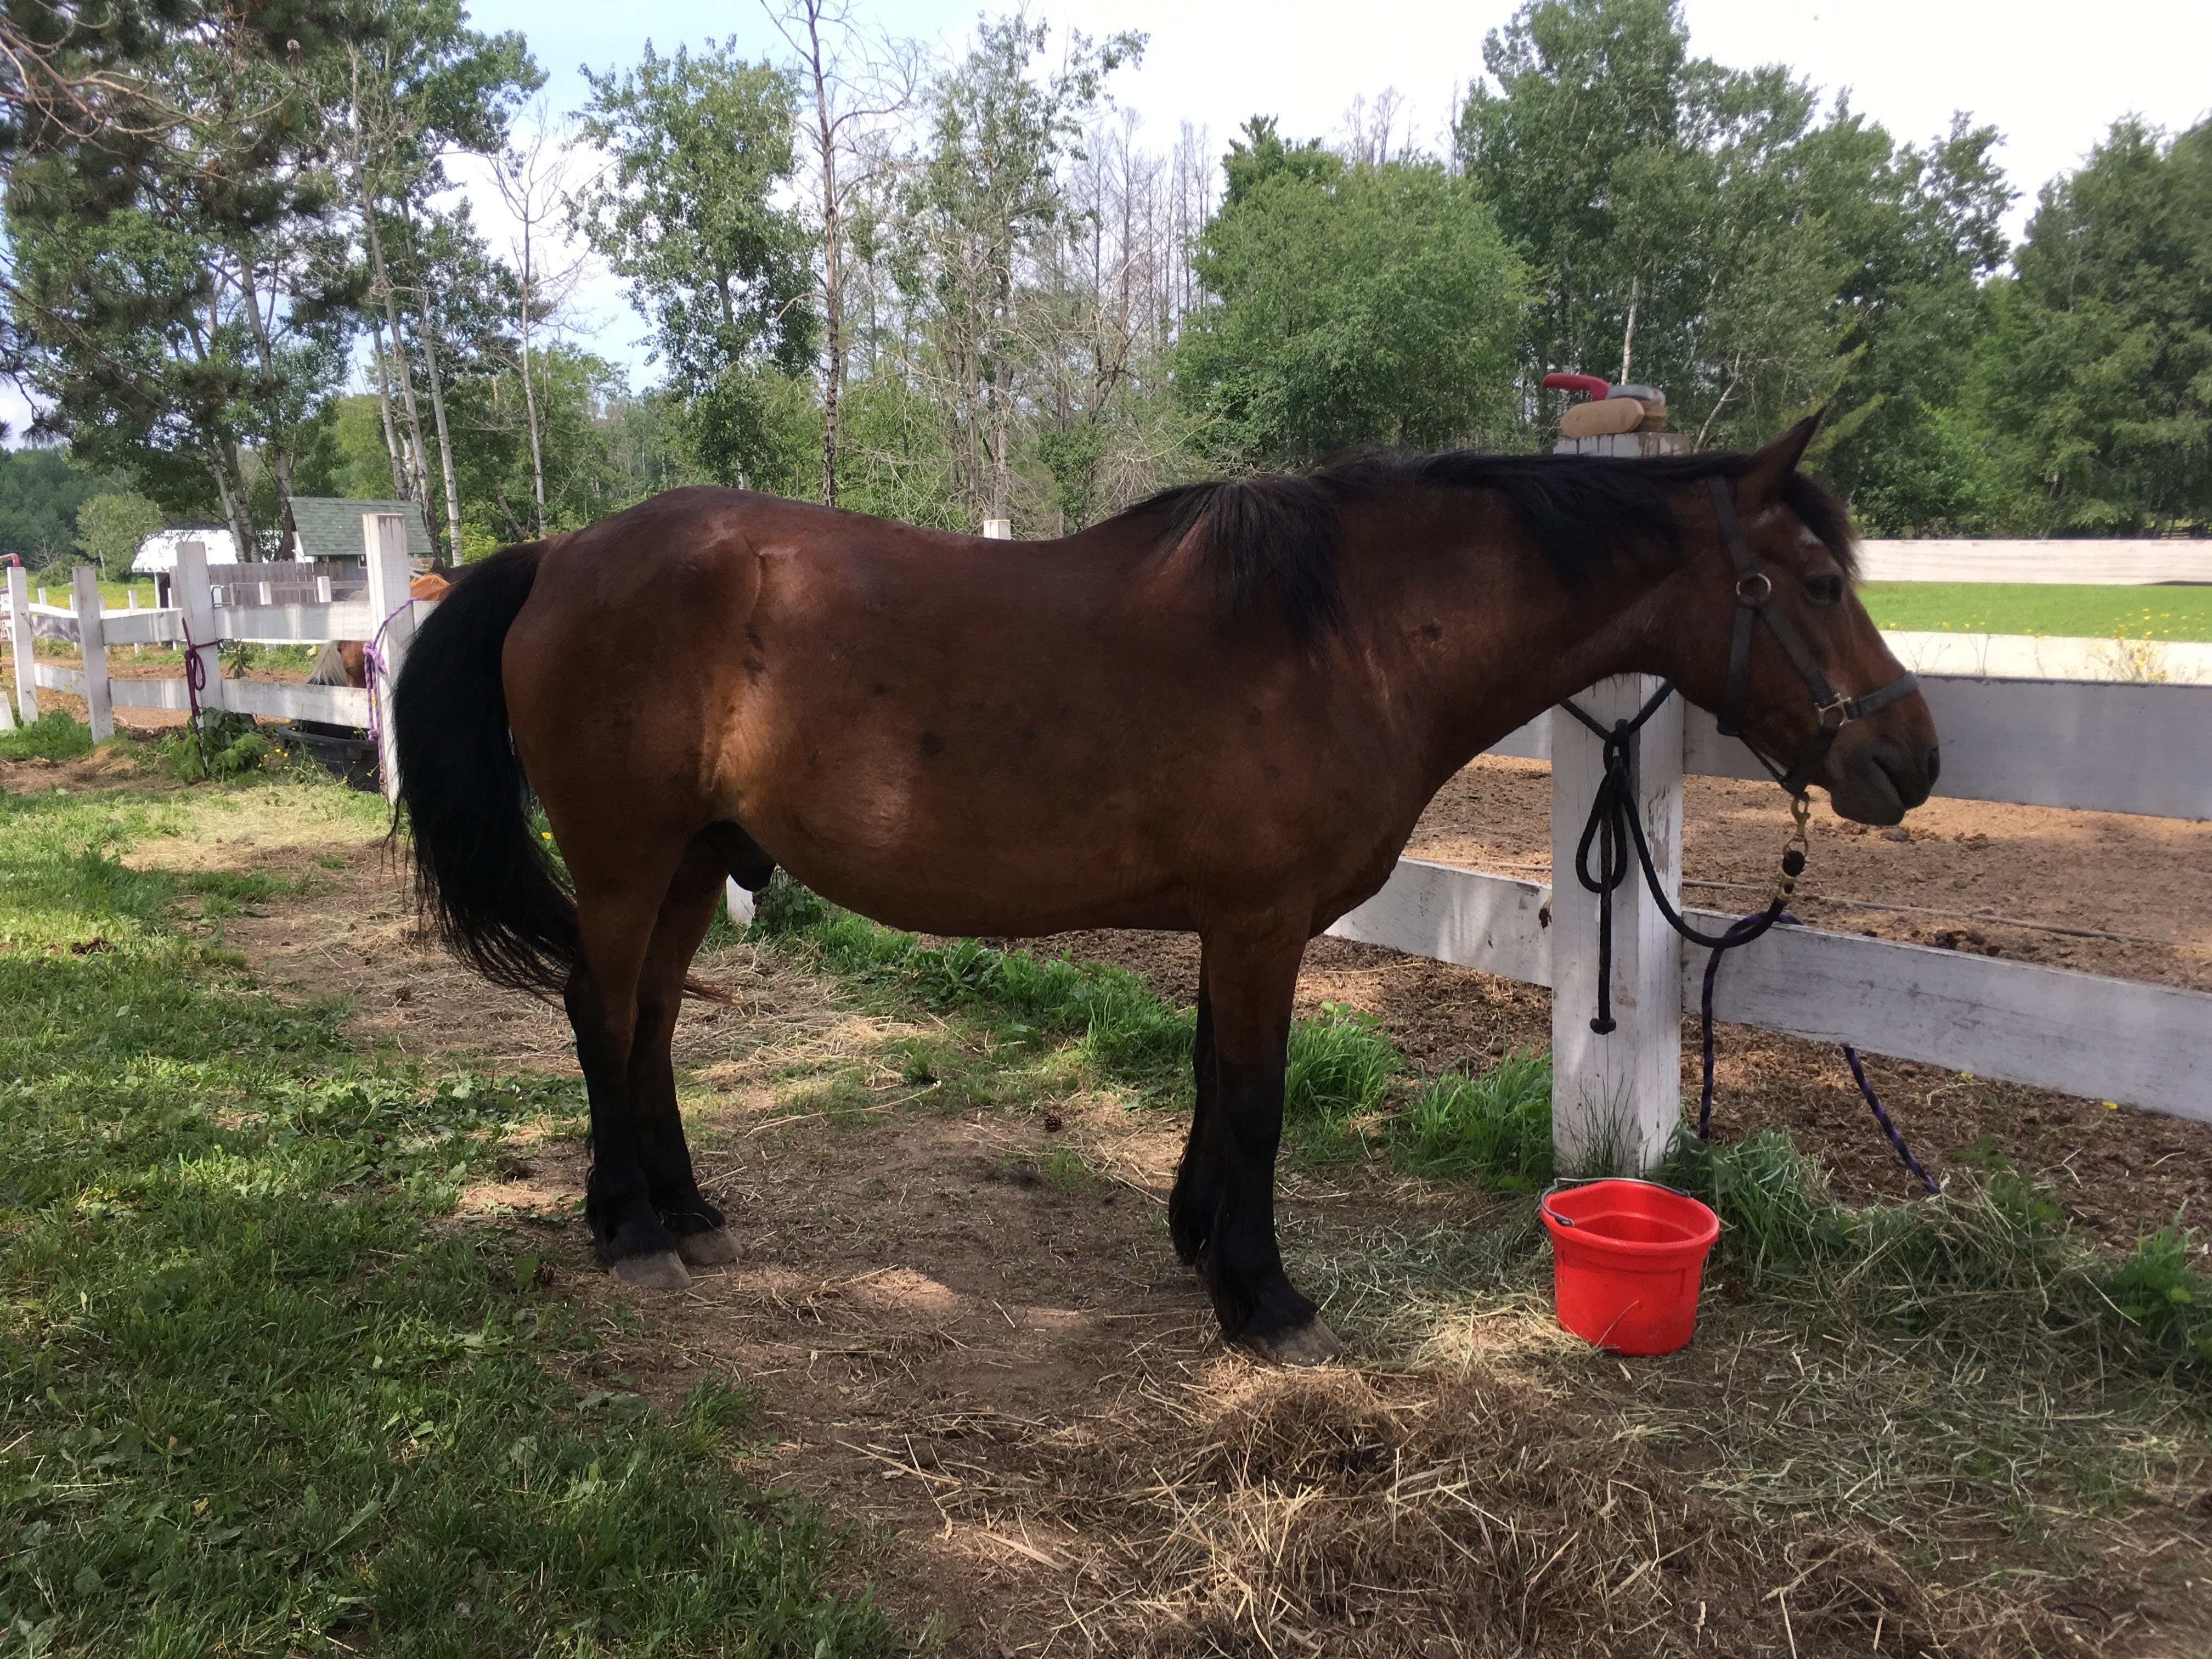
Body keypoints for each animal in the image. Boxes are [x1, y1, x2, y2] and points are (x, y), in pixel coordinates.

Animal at [393, 413, 1938, 1362]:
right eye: (1812, 581)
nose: (1911, 755)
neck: (1342, 638)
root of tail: (557, 554)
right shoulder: (1261, 924)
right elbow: (1254, 1098)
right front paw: (1263, 1296)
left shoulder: (1228, 924)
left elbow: (1212, 1082)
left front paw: (1202, 1247)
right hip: (626, 858)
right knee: (601, 1018)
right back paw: (630, 1231)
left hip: (693, 863)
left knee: (648, 1023)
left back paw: (682, 1208)